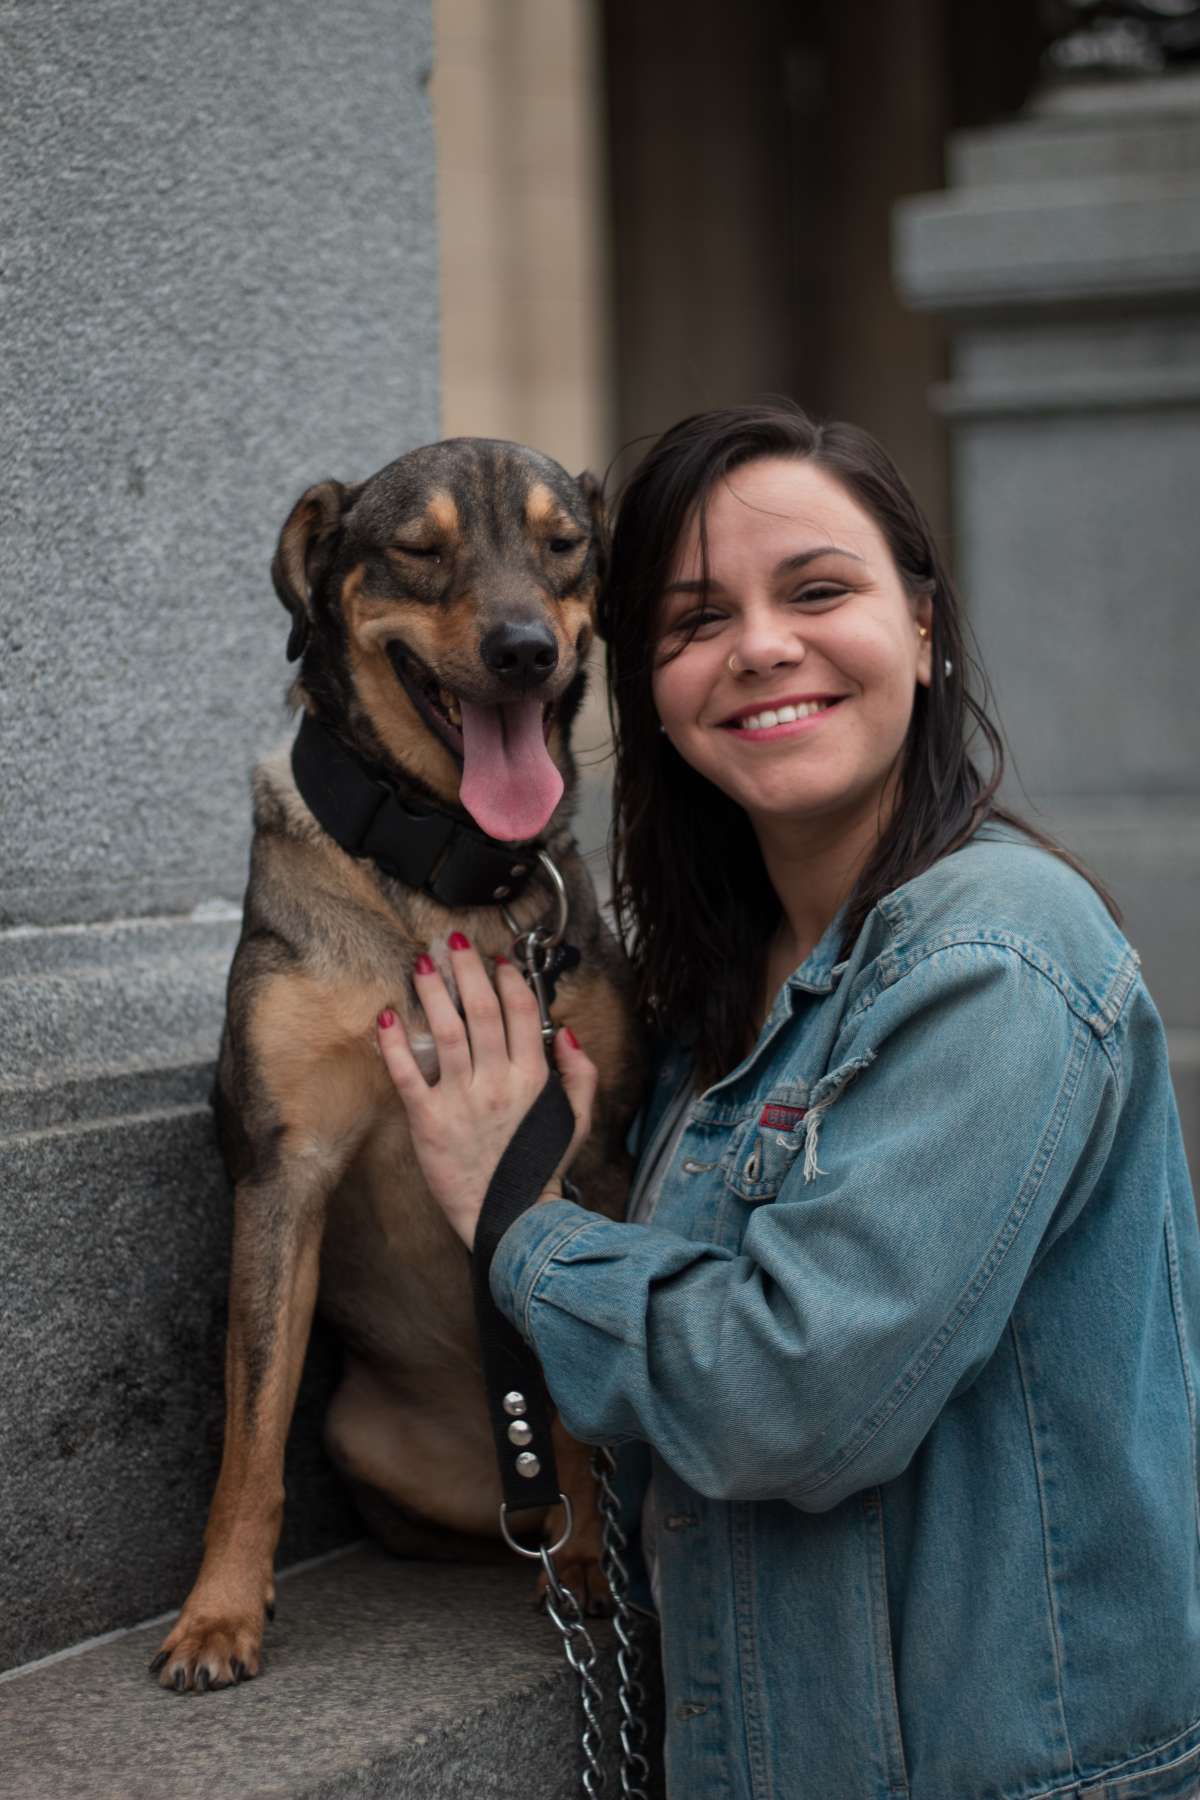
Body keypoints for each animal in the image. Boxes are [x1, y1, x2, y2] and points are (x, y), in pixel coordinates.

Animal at [154, 435, 647, 1684]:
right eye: (419, 549)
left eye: (563, 545)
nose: (524, 651)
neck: (442, 868)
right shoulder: (284, 1168)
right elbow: (251, 1431)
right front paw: (217, 1614)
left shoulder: (592, 1156)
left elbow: (584, 1409)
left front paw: (593, 1569)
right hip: (368, 1440)